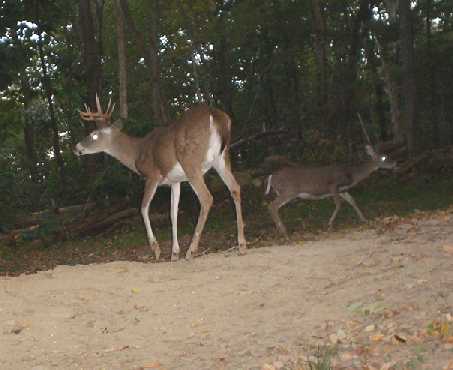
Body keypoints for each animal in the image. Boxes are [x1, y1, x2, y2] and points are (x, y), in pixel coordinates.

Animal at [73, 97, 245, 262]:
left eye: (94, 134)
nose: (76, 148)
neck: (136, 152)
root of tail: (215, 115)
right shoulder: (175, 181)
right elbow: (173, 213)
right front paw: (174, 253)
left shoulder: (152, 175)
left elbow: (143, 208)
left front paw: (156, 249)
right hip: (222, 157)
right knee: (235, 187)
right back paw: (241, 244)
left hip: (190, 161)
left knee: (207, 198)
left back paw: (191, 250)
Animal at [264, 145, 396, 237]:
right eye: (384, 157)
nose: (395, 163)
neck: (351, 174)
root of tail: (271, 177)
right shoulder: (333, 186)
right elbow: (338, 204)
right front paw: (330, 224)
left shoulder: (342, 189)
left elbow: (352, 201)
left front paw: (364, 219)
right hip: (289, 191)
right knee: (272, 206)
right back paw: (284, 231)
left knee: (273, 206)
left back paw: (280, 230)